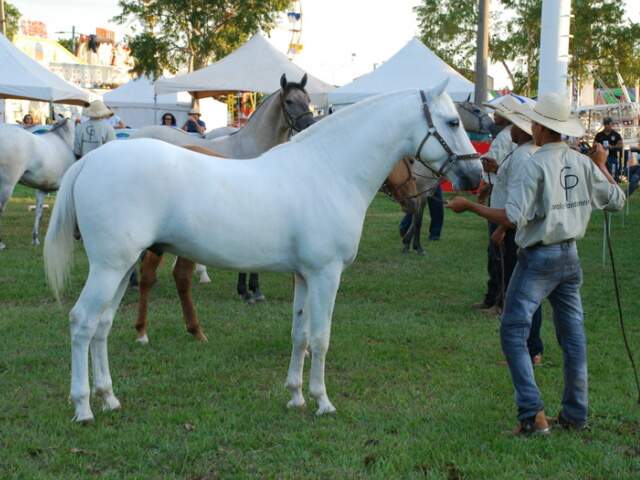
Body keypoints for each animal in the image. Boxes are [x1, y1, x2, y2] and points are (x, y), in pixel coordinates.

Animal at [132, 73, 316, 302]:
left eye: (308, 99)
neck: (251, 148)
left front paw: (254, 290)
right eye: (289, 101)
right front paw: (246, 291)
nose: (310, 124)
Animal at [134, 144, 420, 344]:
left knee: (177, 276)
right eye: (409, 161)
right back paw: (146, 332)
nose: (416, 200)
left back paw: (192, 331)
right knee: (152, 275)